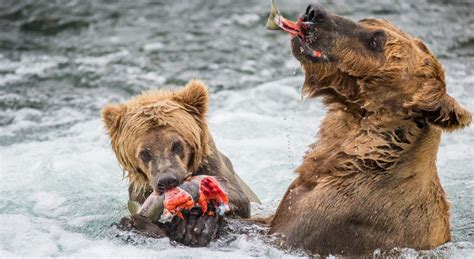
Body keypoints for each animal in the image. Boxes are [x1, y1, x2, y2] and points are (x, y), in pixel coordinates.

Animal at [101, 80, 262, 247]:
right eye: (144, 153)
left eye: (177, 144)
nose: (167, 180)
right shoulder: (139, 194)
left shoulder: (216, 169)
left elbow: (239, 202)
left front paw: (197, 226)